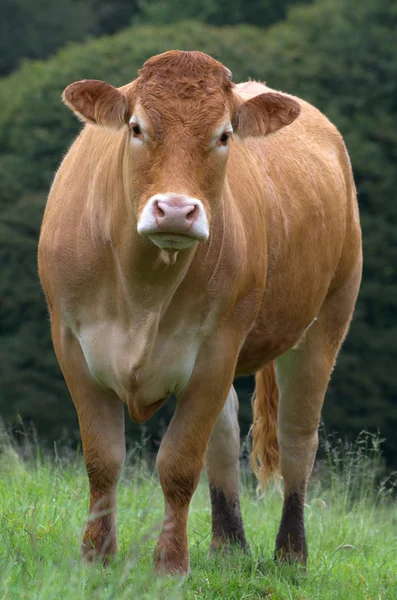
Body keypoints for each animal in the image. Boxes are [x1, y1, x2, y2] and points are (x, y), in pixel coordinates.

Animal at [38, 49, 360, 576]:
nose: (174, 210)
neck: (143, 292)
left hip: (328, 320)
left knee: (297, 438)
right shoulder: (71, 344)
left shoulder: (216, 351)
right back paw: (228, 544)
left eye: (224, 135)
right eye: (136, 127)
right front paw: (95, 556)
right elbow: (103, 459)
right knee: (226, 438)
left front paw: (170, 564)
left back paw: (291, 553)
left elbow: (179, 463)